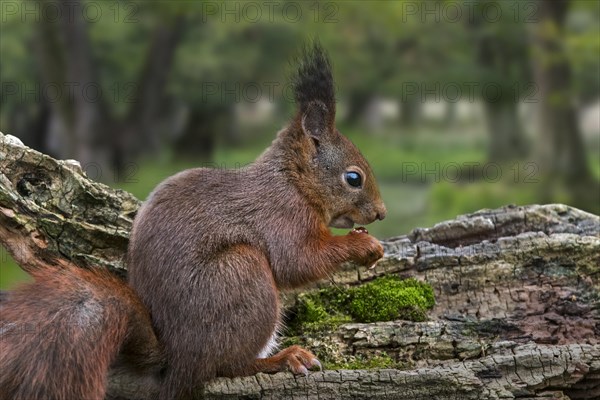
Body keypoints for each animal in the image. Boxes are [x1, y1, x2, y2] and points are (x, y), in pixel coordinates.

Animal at [0, 43, 384, 400]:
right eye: (353, 178)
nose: (381, 213)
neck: (293, 181)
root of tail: (178, 361)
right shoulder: (282, 215)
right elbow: (298, 262)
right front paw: (364, 245)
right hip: (242, 273)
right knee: (227, 366)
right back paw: (280, 359)